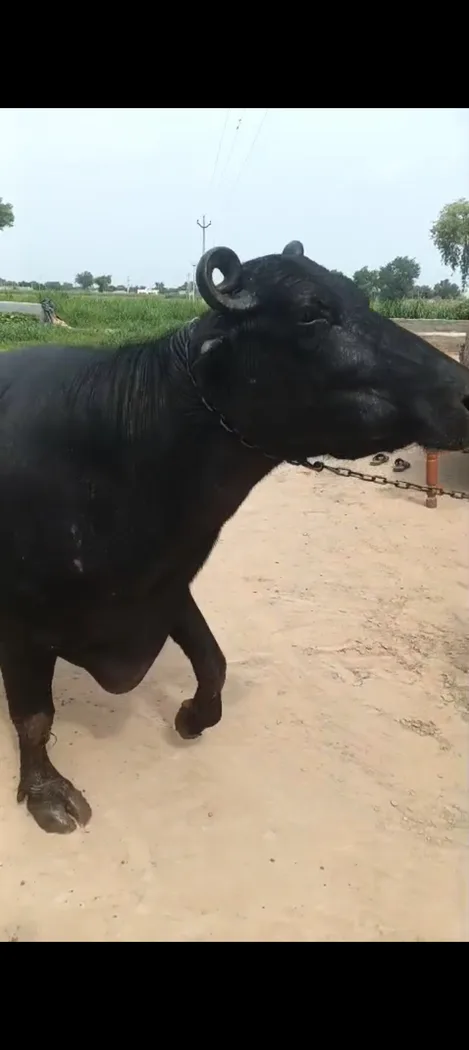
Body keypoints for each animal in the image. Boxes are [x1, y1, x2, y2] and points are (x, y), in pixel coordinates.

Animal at [1, 239, 468, 834]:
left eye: (359, 297)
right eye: (311, 313)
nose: (463, 393)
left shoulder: (166, 587)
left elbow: (214, 661)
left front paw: (193, 717)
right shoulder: (21, 625)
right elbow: (35, 717)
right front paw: (46, 794)